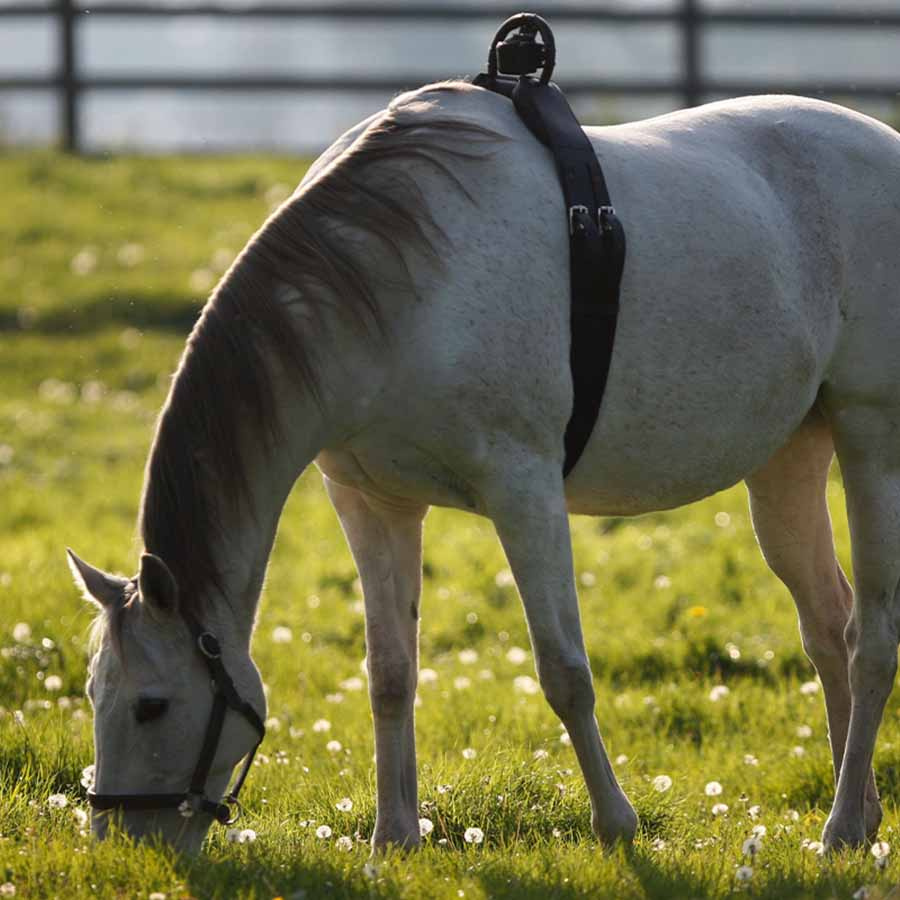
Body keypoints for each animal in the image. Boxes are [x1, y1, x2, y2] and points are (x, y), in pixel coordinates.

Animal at [68, 80, 900, 854]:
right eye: (92, 694)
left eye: (151, 704)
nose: (124, 844)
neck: (396, 279)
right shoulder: (371, 503)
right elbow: (391, 673)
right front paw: (394, 836)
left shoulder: (524, 489)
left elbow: (564, 671)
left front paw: (616, 823)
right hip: (789, 457)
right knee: (829, 625)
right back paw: (858, 814)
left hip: (869, 438)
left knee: (870, 639)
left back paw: (839, 828)